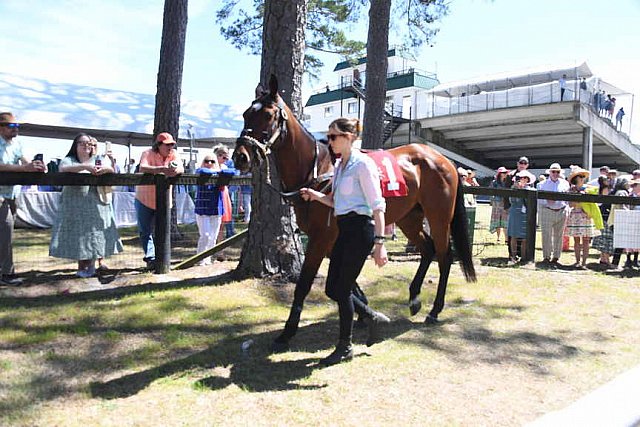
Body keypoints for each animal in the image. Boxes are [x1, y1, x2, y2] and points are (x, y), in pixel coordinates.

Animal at [235, 75, 476, 352]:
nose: (240, 156)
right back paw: (414, 297)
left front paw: (287, 333)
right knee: (427, 249)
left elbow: (305, 285)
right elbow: (346, 284)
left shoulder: (321, 239)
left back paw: (435, 310)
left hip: (438, 216)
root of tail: (444, 160)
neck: (318, 171)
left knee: (445, 256)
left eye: (268, 115)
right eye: (245, 114)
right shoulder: (334, 240)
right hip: (409, 218)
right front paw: (364, 313)